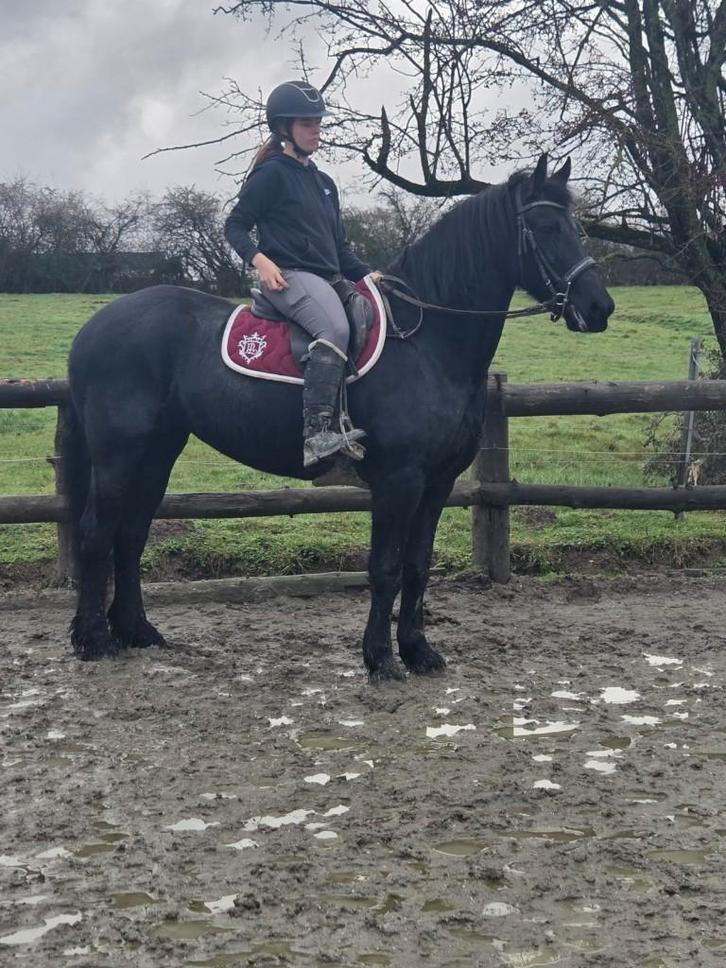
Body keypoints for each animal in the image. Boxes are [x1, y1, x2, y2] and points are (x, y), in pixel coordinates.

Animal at [63, 153, 614, 681]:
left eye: (574, 225)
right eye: (545, 226)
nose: (599, 306)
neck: (428, 342)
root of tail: (95, 325)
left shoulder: (438, 483)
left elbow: (418, 567)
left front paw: (419, 651)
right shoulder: (399, 481)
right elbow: (385, 568)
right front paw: (381, 659)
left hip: (158, 451)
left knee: (131, 532)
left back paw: (137, 630)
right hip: (118, 454)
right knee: (97, 531)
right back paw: (94, 640)